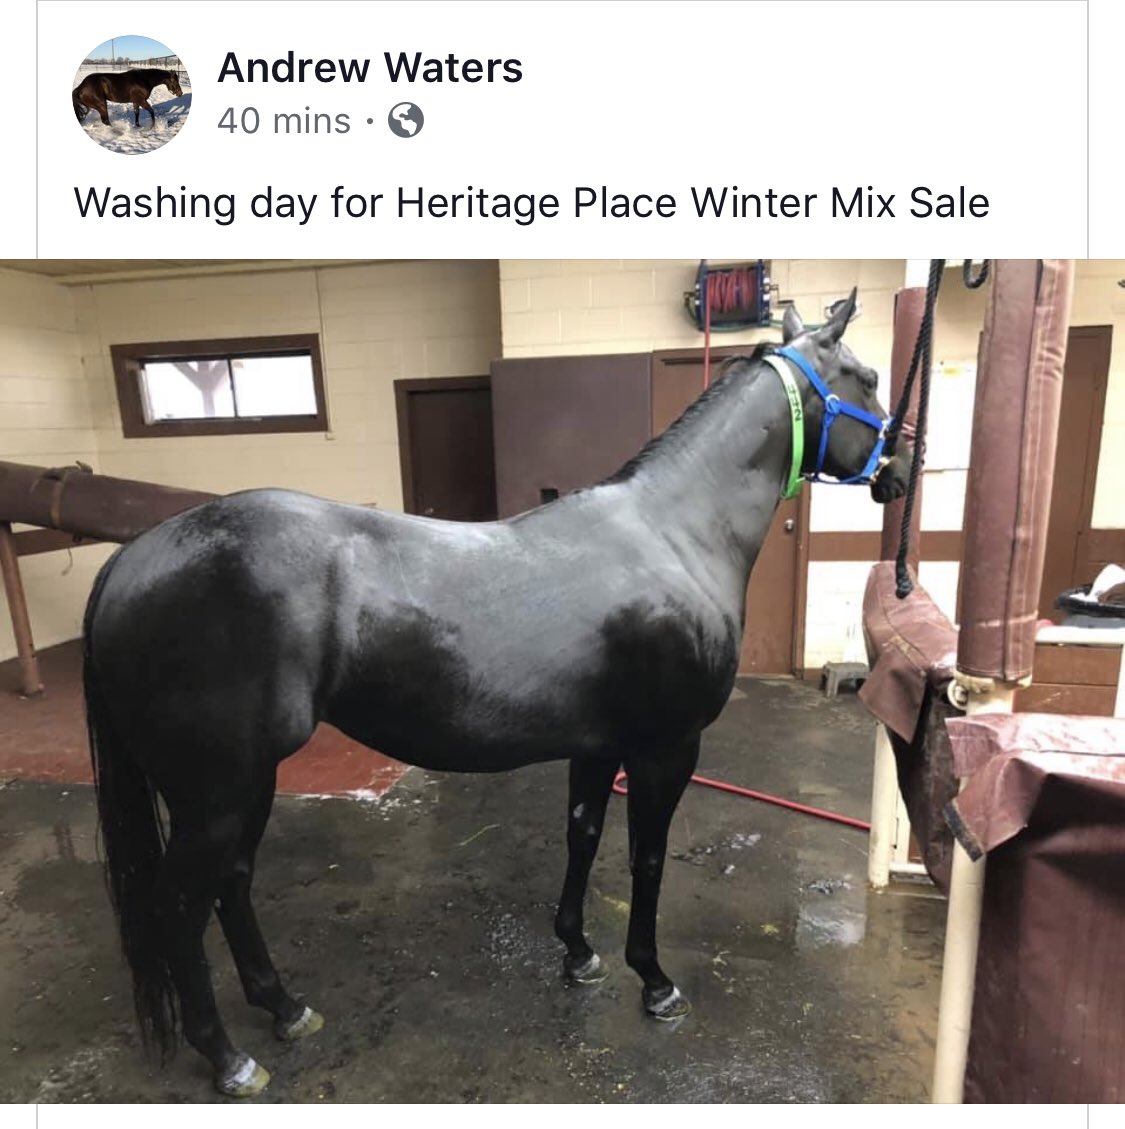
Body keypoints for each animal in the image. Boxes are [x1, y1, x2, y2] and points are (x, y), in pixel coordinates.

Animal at [83, 291, 910, 1096]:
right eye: (867, 378)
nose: (900, 470)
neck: (672, 535)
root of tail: (134, 557)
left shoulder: (599, 746)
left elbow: (582, 835)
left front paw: (577, 952)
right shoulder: (664, 748)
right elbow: (646, 858)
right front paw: (654, 981)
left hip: (242, 784)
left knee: (232, 883)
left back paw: (284, 1007)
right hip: (216, 791)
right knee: (178, 907)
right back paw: (228, 1057)